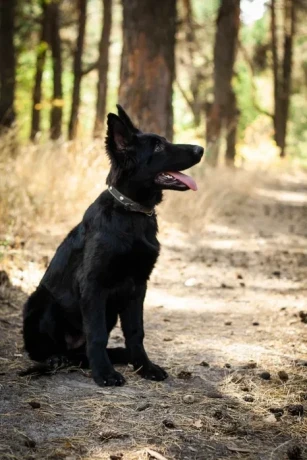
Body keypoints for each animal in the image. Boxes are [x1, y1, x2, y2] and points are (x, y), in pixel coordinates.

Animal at [22, 105, 203, 384]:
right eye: (158, 147)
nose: (200, 149)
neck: (131, 212)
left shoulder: (138, 285)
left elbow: (136, 332)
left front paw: (144, 366)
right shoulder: (93, 284)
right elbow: (96, 335)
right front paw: (104, 373)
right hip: (40, 300)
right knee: (46, 349)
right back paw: (59, 359)